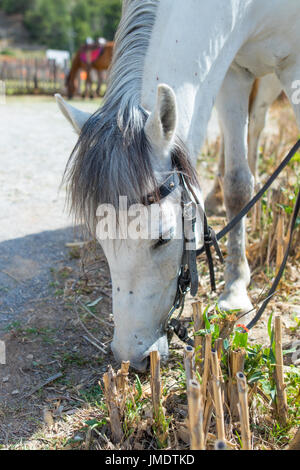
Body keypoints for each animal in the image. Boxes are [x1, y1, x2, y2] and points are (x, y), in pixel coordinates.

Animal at [55, 0, 300, 370]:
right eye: (100, 240)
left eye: (162, 238)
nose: (131, 357)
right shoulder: (233, 72)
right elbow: (237, 184)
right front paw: (235, 288)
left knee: (258, 125)